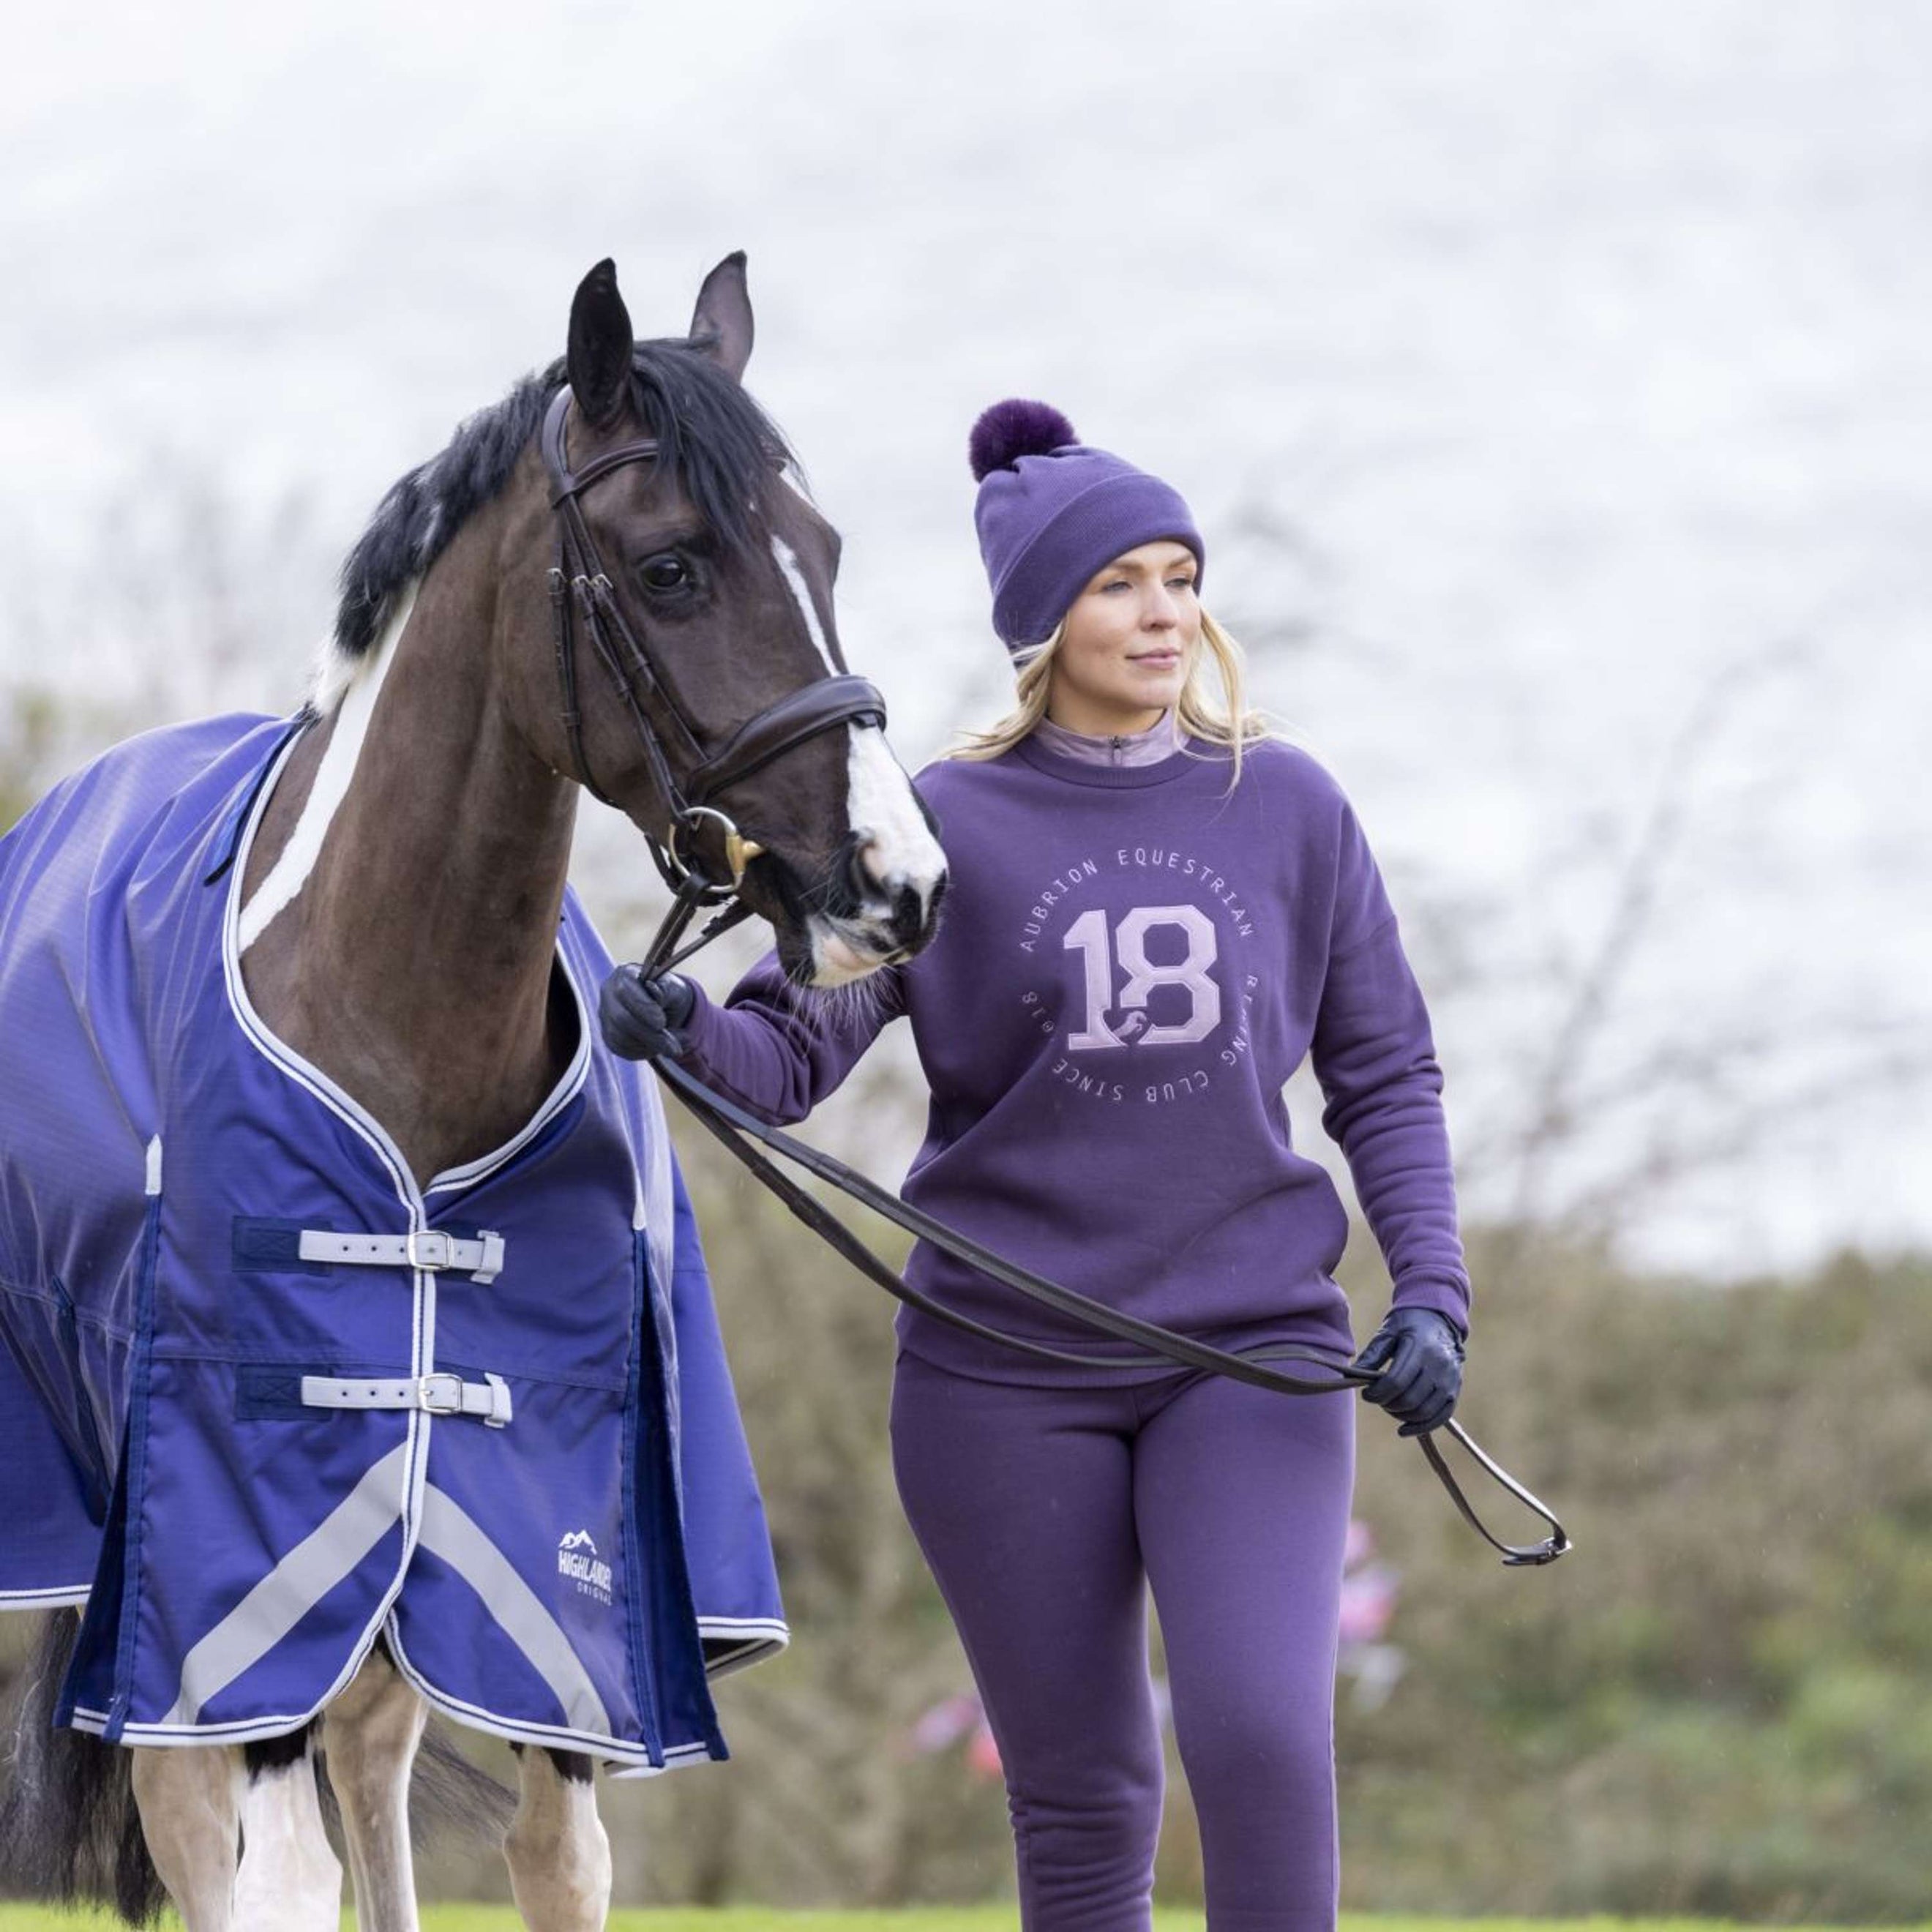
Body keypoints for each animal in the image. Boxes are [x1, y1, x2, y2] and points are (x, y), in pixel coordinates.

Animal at [0, 257, 943, 1932]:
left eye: (824, 548)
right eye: (672, 566)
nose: (897, 888)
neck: (394, 1024)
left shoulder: (548, 1564)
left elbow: (556, 1864)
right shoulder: (246, 1556)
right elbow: (277, 1875)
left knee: (368, 1772)